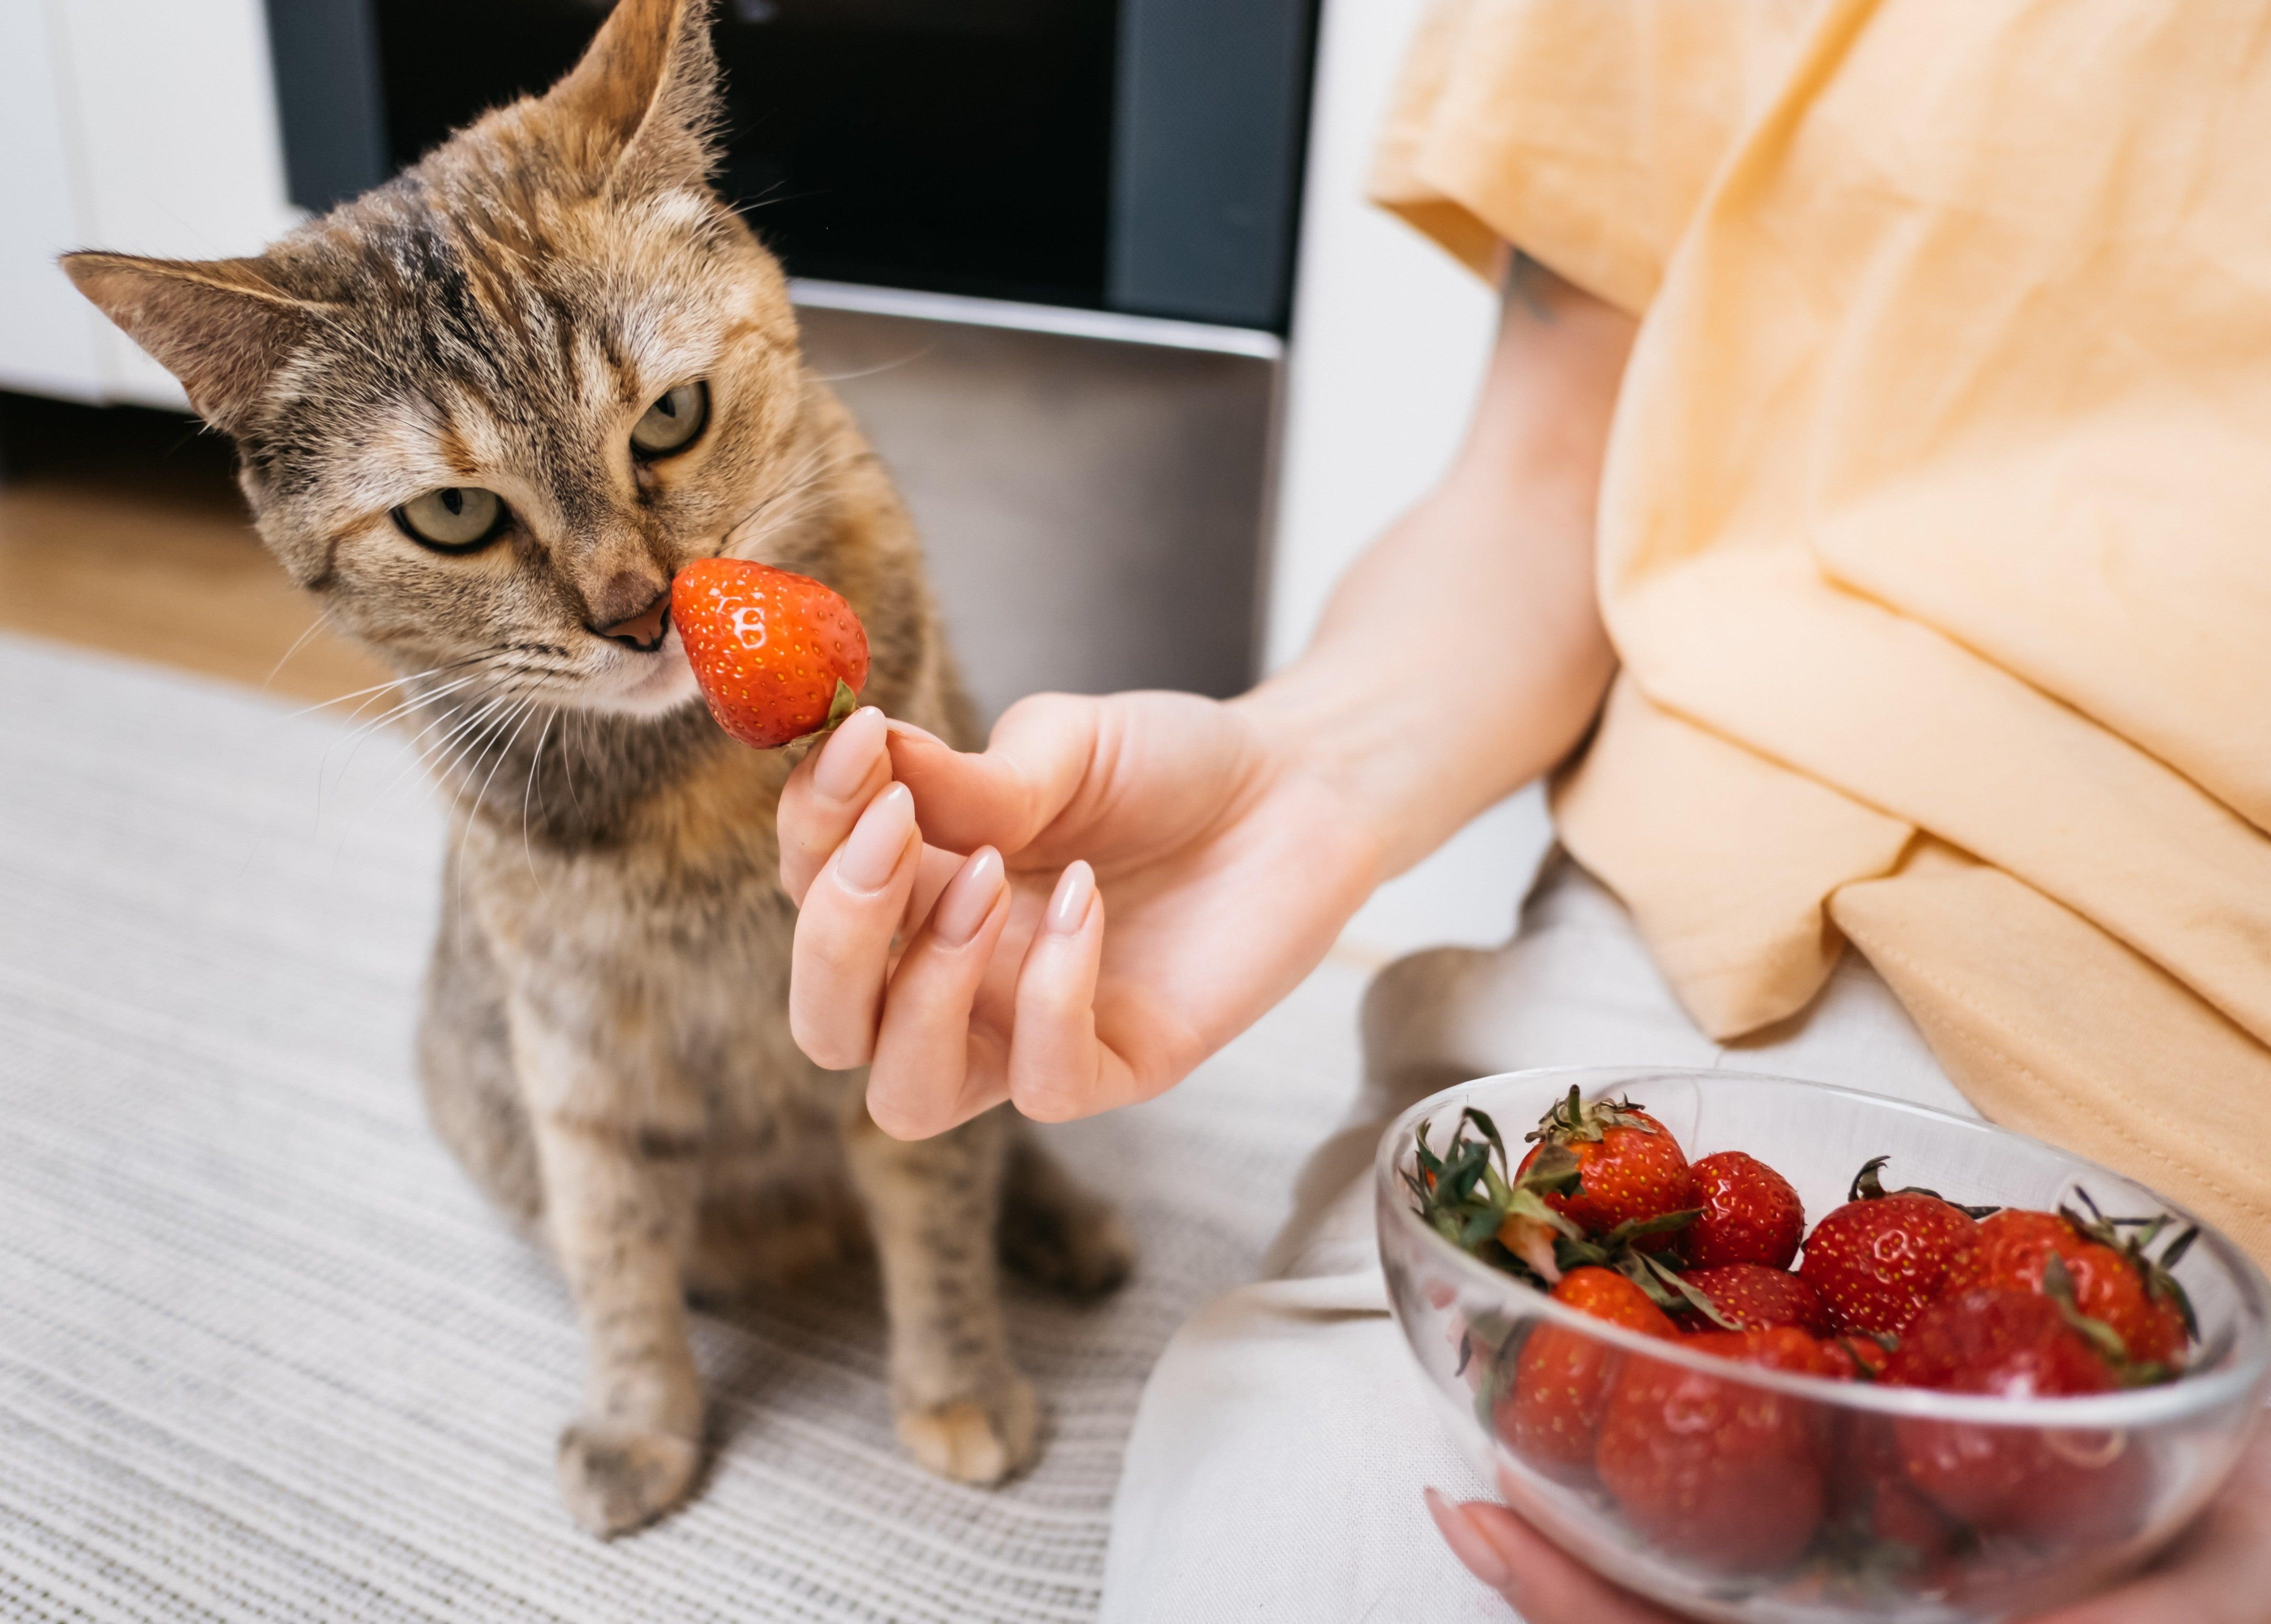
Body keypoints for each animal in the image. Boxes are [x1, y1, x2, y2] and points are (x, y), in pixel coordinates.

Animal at [66, 0, 1130, 1535]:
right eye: (454, 515)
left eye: (669, 418)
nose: (635, 615)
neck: (694, 798)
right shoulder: (581, 1067)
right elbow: (619, 1263)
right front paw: (642, 1424)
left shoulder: (910, 1007)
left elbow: (933, 1205)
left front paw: (957, 1384)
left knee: (1005, 1141)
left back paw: (1061, 1220)